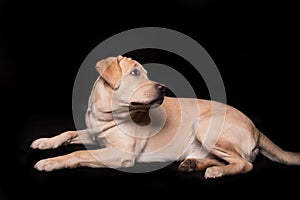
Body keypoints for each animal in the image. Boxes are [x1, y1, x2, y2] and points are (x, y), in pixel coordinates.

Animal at [30, 55, 300, 178]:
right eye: (135, 73)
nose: (163, 88)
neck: (107, 115)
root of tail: (256, 128)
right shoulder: (94, 134)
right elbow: (68, 132)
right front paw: (45, 142)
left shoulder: (121, 154)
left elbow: (79, 154)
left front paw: (51, 162)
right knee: (223, 159)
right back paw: (195, 164)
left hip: (205, 126)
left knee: (244, 163)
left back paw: (217, 171)